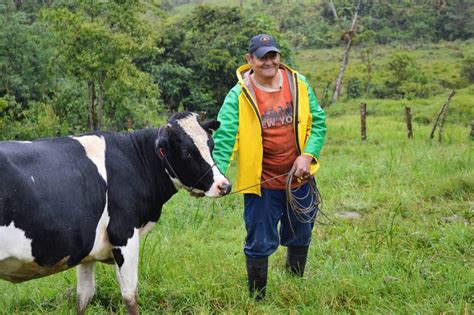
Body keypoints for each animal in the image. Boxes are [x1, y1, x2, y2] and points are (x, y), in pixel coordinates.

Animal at [0, 112, 231, 314]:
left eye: (211, 145)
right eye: (187, 153)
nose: (225, 186)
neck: (135, 161)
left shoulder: (87, 249)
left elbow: (84, 297)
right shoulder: (124, 235)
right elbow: (130, 296)